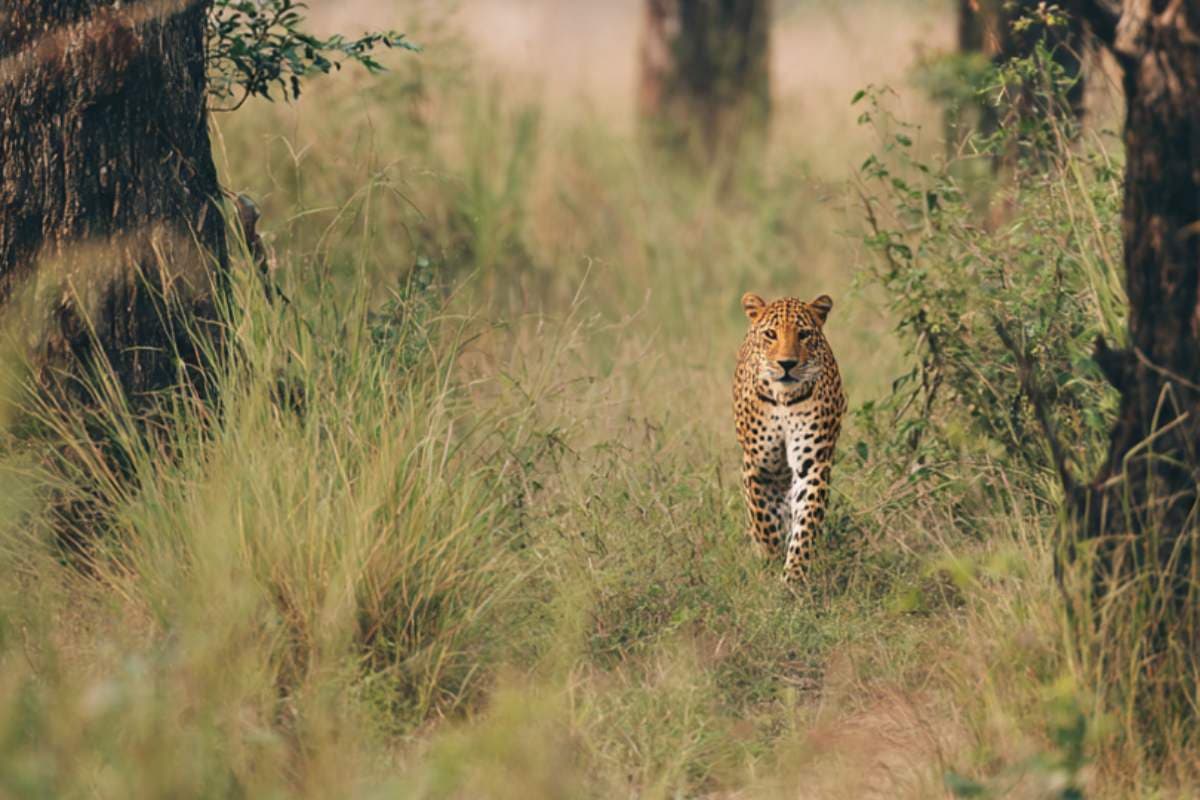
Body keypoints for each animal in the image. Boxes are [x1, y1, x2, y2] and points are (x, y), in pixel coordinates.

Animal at [733, 292, 847, 584]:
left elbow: (805, 521)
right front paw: (771, 557)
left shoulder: (812, 464)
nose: (787, 364)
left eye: (804, 334)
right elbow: (763, 519)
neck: (783, 399)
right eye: (771, 334)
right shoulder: (759, 466)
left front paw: (793, 576)